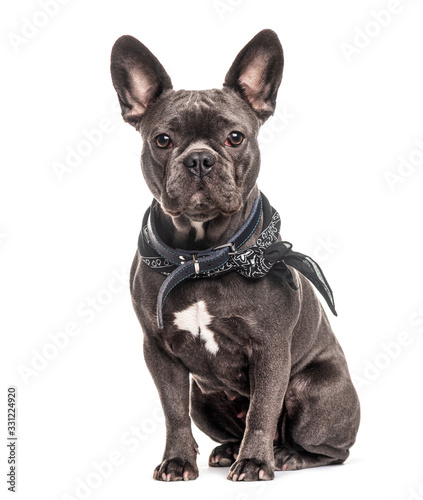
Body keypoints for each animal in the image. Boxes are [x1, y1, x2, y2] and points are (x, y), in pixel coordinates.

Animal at [110, 30, 362, 480]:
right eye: (163, 140)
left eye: (234, 137)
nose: (199, 159)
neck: (200, 256)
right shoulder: (159, 351)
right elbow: (173, 411)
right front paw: (177, 461)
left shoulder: (270, 349)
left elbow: (262, 408)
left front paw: (255, 462)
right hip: (203, 398)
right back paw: (228, 449)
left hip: (313, 395)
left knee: (331, 448)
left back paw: (288, 455)